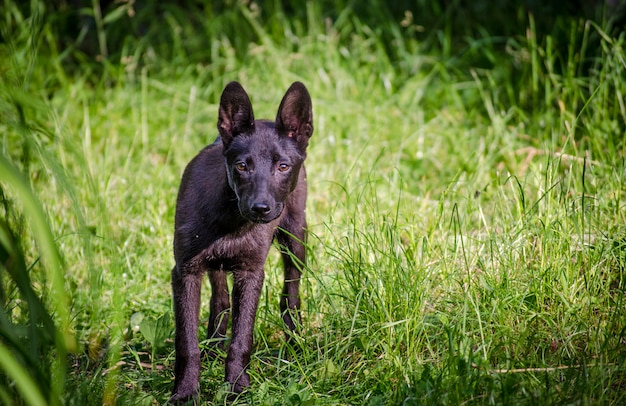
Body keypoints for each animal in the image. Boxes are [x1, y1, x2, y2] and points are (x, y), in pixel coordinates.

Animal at [169, 81, 310, 402]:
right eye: (242, 166)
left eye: (283, 167)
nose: (261, 209)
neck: (231, 220)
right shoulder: (185, 272)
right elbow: (186, 342)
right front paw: (186, 391)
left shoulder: (250, 272)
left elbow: (242, 337)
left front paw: (237, 387)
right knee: (220, 299)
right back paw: (214, 344)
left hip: (295, 237)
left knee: (290, 294)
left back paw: (295, 341)